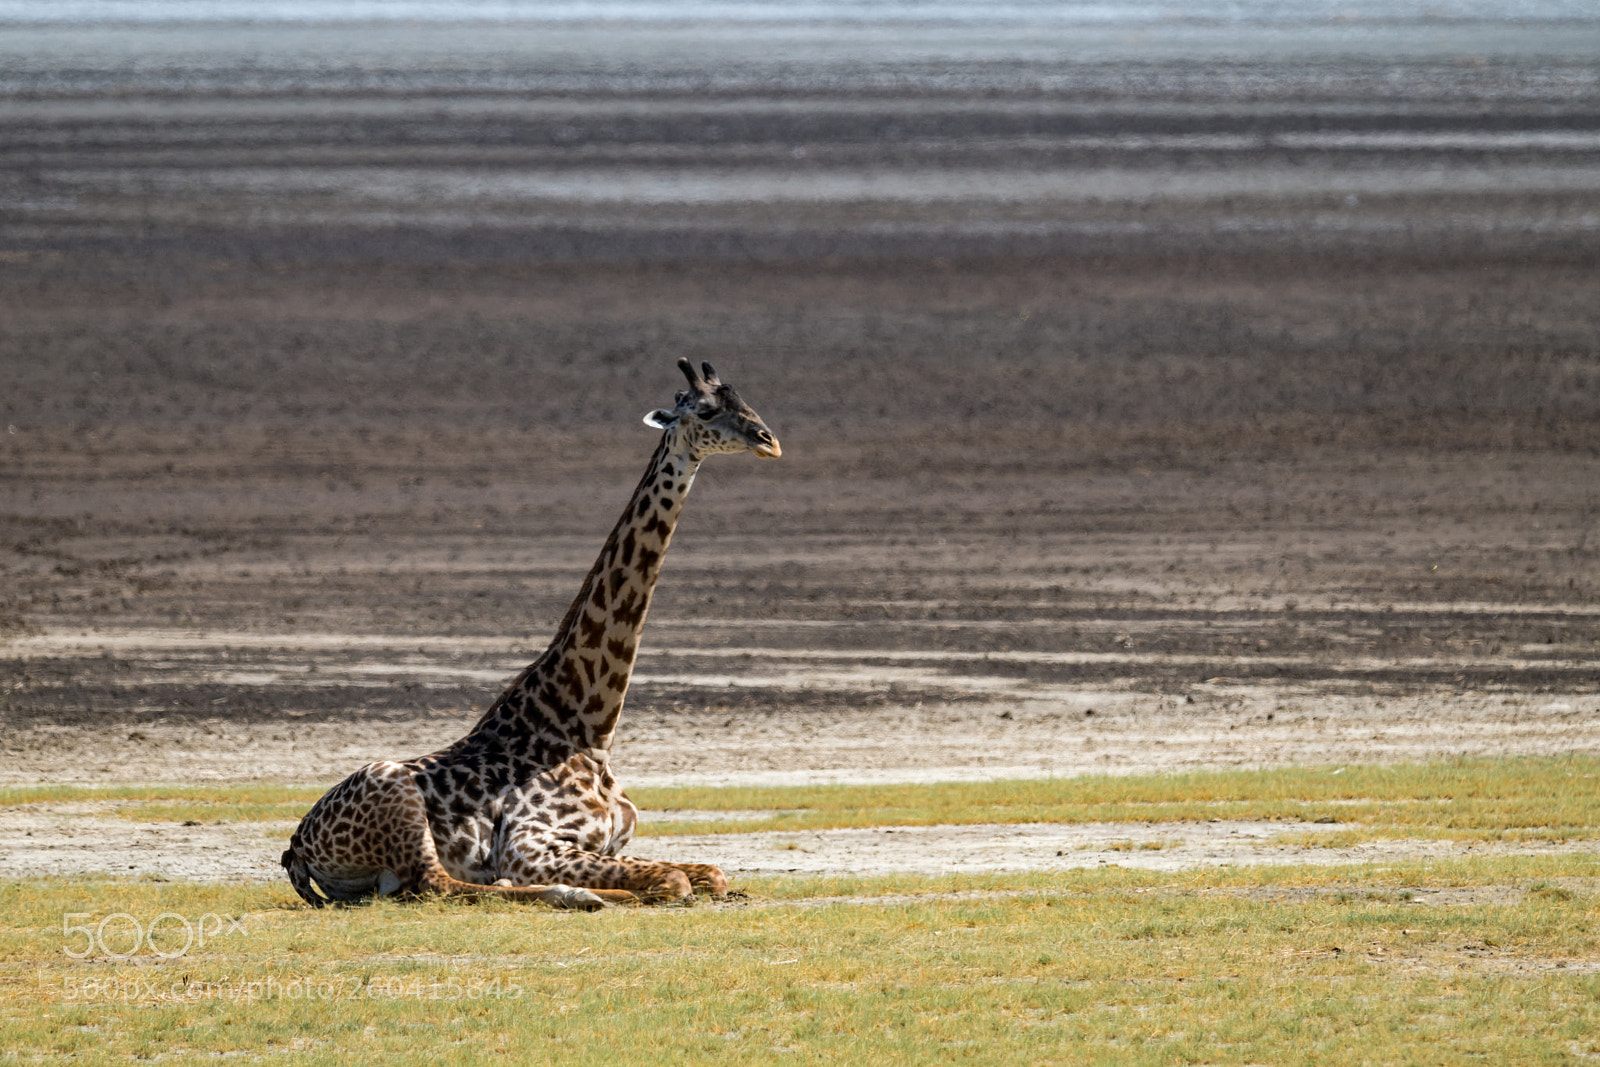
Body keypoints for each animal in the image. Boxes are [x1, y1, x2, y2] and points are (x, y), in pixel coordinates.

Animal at [281, 359, 781, 909]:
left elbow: (712, 873)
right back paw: (582, 894)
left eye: (747, 402)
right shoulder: (529, 845)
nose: (769, 441)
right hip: (394, 787)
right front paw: (610, 890)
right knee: (443, 883)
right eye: (707, 410)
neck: (590, 729)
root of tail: (297, 844)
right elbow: (674, 881)